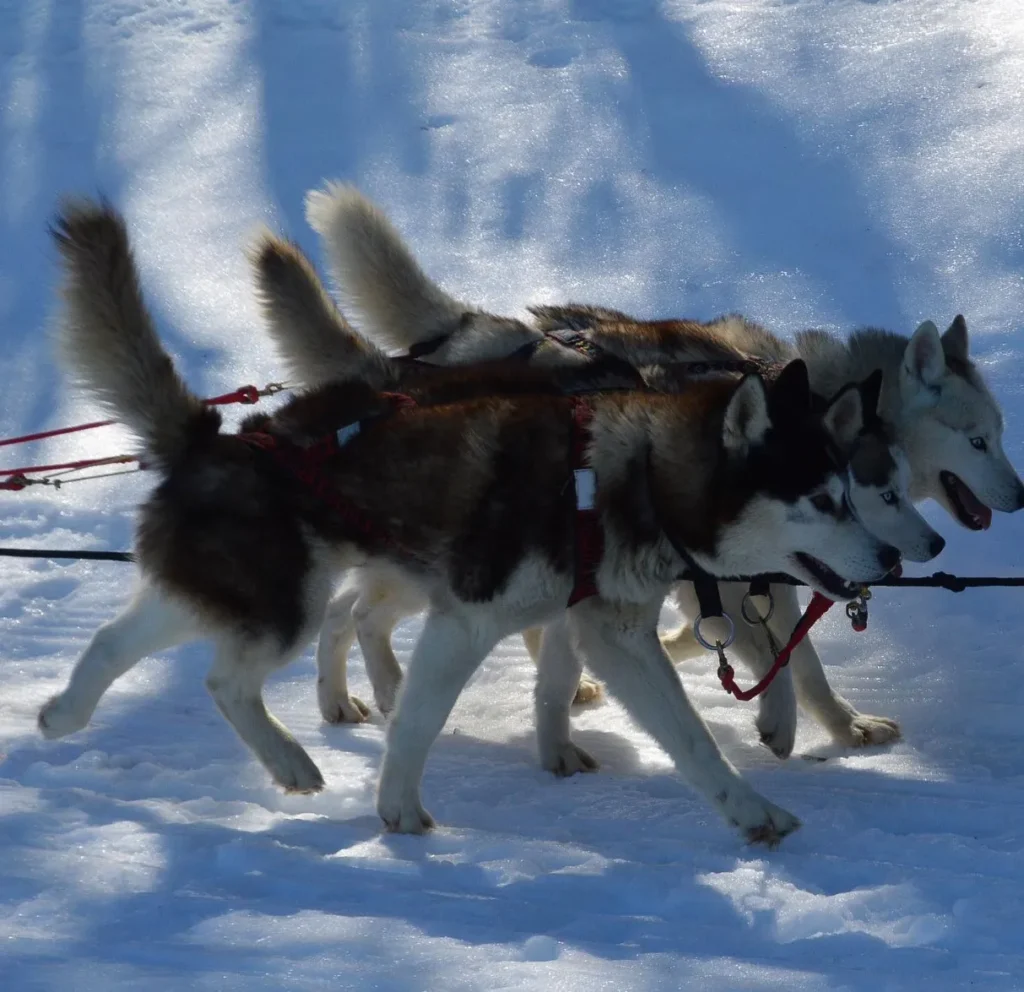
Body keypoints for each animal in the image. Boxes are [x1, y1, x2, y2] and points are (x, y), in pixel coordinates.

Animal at [36, 199, 901, 843]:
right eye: (823, 500)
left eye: (851, 491)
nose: (890, 558)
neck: (630, 477)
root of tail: (222, 437)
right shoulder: (467, 621)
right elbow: (420, 722)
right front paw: (398, 811)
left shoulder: (609, 632)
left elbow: (687, 737)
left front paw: (751, 811)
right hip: (286, 605)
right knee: (226, 678)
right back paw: (288, 761)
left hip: (236, 590)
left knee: (115, 640)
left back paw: (64, 712)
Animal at [292, 186, 1019, 753]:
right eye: (979, 441)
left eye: (1000, 435)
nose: (929, 548)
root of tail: (476, 333)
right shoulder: (726, 575)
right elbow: (792, 662)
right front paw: (822, 724)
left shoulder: (742, 578)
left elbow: (751, 645)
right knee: (363, 610)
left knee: (351, 608)